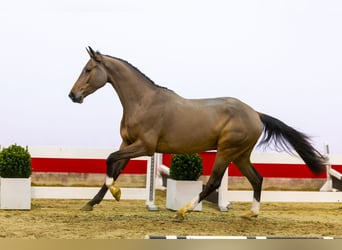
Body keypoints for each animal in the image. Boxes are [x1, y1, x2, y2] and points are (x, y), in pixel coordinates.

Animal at [67, 47, 326, 220]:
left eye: (88, 69)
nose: (73, 95)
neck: (143, 102)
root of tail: (255, 113)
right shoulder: (127, 143)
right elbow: (114, 167)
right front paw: (91, 203)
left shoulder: (145, 147)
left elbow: (109, 160)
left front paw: (117, 192)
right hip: (240, 155)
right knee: (257, 179)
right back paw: (251, 214)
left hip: (226, 151)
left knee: (213, 182)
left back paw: (183, 211)